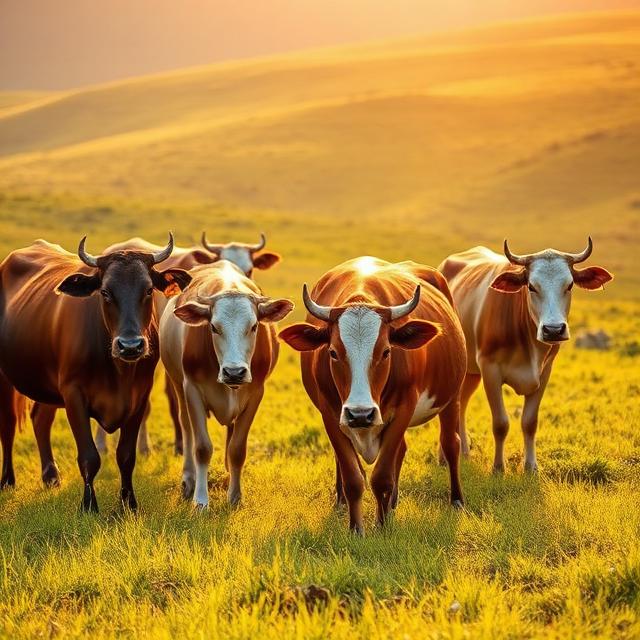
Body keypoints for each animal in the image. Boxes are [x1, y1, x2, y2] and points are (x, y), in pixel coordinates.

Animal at [0, 235, 191, 511]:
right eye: (105, 292)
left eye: (148, 290)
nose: (130, 345)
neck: (118, 372)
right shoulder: (73, 396)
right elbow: (89, 456)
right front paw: (89, 505)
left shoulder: (140, 397)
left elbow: (126, 455)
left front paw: (128, 503)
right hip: (5, 378)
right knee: (8, 425)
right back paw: (7, 480)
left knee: (40, 419)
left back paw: (50, 476)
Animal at [160, 260, 293, 508]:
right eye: (213, 327)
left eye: (254, 326)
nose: (234, 372)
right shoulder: (192, 390)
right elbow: (202, 448)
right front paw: (201, 500)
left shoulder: (255, 394)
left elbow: (237, 449)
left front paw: (235, 496)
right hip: (177, 385)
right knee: (186, 428)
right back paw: (189, 479)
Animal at [278, 257, 467, 534]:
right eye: (333, 352)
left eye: (387, 351)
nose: (361, 414)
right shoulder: (331, 414)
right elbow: (353, 477)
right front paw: (357, 528)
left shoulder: (403, 409)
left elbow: (382, 476)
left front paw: (382, 525)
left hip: (452, 397)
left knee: (451, 444)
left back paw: (456, 500)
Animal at [438, 238, 613, 473]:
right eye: (531, 286)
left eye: (569, 285)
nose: (553, 330)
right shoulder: (490, 369)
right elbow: (500, 423)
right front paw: (498, 468)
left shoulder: (544, 372)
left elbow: (530, 422)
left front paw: (531, 467)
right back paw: (443, 459)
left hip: (470, 373)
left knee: (461, 405)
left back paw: (464, 452)